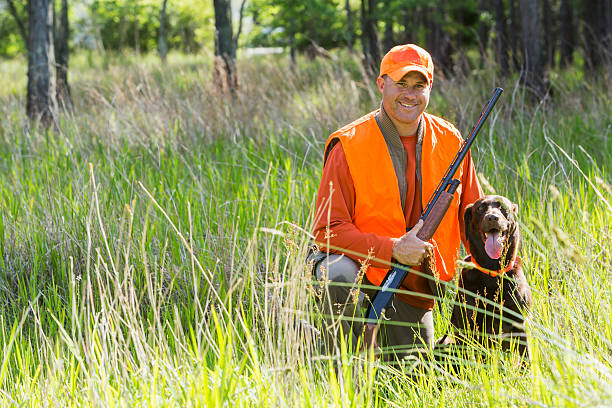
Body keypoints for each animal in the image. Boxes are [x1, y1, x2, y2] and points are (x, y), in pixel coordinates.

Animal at [440, 196, 532, 362]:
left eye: (503, 208)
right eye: (481, 209)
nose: (492, 218)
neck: (492, 271)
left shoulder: (520, 323)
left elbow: (526, 359)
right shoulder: (469, 327)